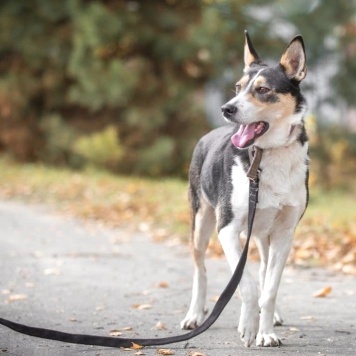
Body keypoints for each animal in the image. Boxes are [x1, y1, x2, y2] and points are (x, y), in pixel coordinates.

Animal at [181, 32, 308, 346]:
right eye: (238, 88)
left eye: (262, 90)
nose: (227, 108)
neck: (266, 155)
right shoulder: (227, 229)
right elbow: (246, 285)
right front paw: (249, 328)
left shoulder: (285, 233)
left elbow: (269, 288)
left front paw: (266, 332)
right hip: (201, 222)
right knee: (200, 270)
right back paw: (195, 314)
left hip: (263, 234)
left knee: (262, 270)